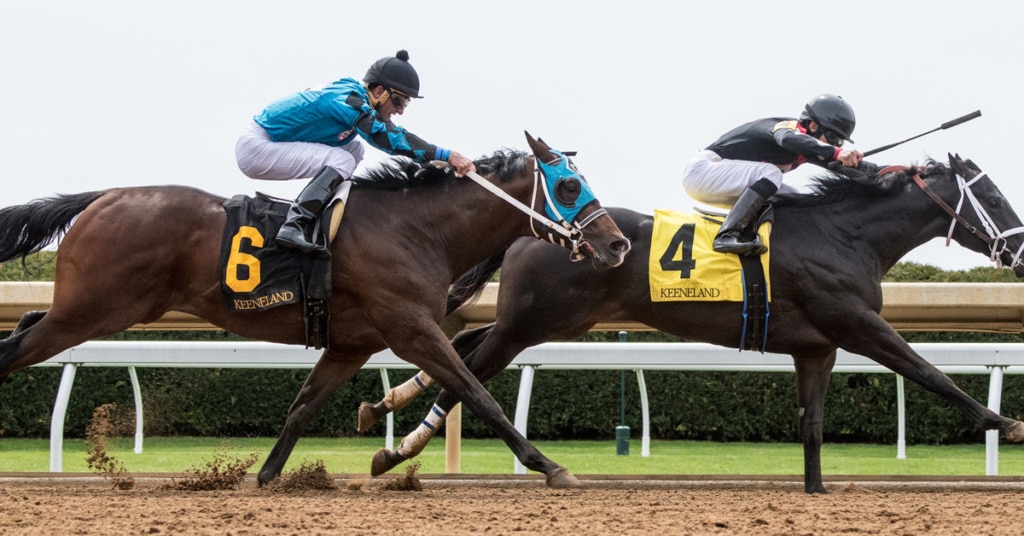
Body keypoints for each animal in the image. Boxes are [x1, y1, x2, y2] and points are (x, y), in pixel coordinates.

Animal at [0, 133, 630, 485]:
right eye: (569, 187)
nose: (619, 244)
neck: (418, 227)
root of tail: (100, 198)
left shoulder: (353, 343)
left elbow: (303, 407)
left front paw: (266, 476)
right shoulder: (411, 327)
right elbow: (478, 394)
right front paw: (551, 467)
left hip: (86, 310)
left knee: (22, 330)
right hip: (89, 311)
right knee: (15, 347)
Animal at [358, 154, 1024, 496]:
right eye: (993, 197)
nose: (1018, 250)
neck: (842, 234)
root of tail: (539, 228)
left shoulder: (817, 348)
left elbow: (811, 427)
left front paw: (816, 491)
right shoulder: (858, 325)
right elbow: (931, 373)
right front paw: (1007, 423)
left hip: (544, 320)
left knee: (461, 345)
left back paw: (390, 410)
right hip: (535, 319)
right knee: (468, 364)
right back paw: (403, 445)